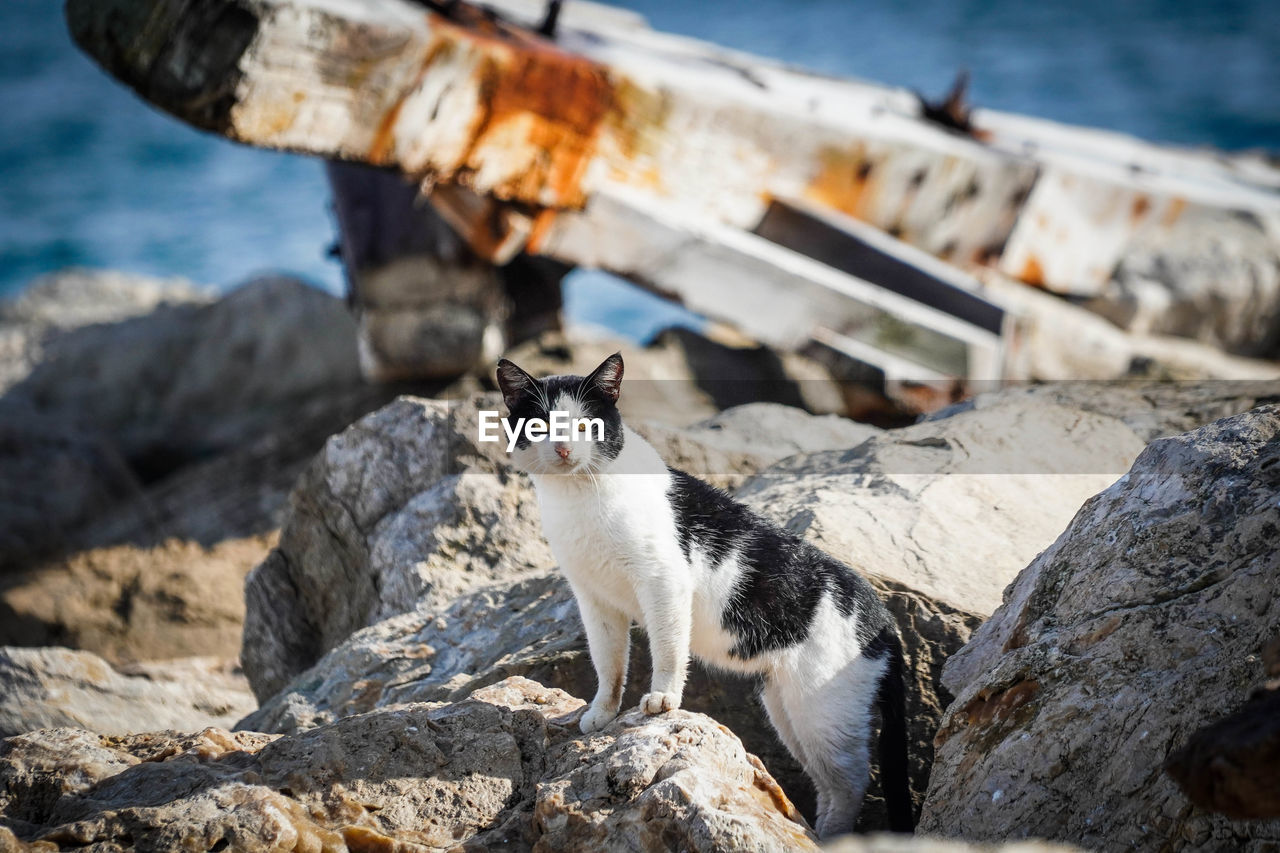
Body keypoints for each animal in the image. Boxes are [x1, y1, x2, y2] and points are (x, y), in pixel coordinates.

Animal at [494, 348, 916, 835]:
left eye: (586, 425)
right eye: (539, 425)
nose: (564, 449)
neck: (579, 497)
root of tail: (883, 618)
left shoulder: (664, 582)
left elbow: (668, 649)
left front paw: (662, 701)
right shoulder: (593, 598)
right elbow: (608, 662)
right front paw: (602, 712)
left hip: (824, 709)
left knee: (851, 783)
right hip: (786, 710)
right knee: (830, 786)